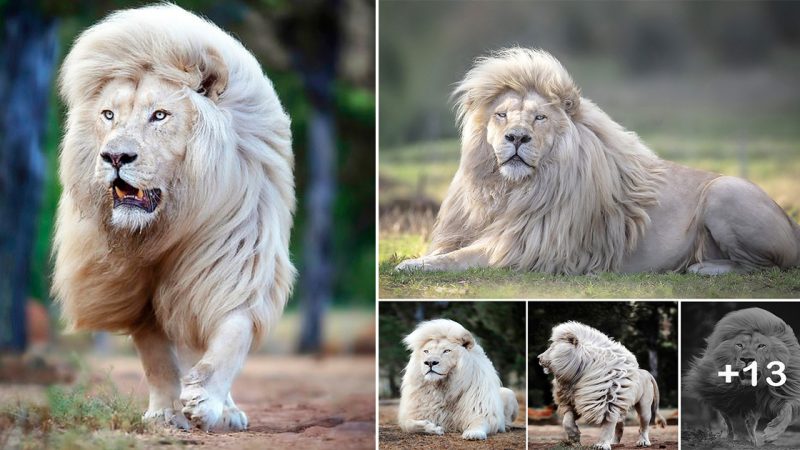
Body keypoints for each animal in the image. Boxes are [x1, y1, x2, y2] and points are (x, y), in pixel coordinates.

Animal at [52, 4, 294, 432]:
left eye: (160, 115)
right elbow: (157, 359)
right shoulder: (133, 289)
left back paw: (226, 411)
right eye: (108, 115)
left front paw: (206, 402)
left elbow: (232, 336)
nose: (115, 157)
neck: (166, 225)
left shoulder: (237, 263)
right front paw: (165, 413)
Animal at [396, 48, 800, 274]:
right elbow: (448, 250)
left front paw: (410, 265)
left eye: (540, 118)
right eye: (501, 115)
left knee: (760, 267)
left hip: (724, 191)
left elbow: (455, 259)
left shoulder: (525, 248)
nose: (517, 138)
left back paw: (701, 269)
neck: (507, 190)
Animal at [536, 322, 668, 448]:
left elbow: (607, 427)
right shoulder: (573, 401)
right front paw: (575, 438)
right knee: (620, 426)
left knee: (643, 426)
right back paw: (615, 443)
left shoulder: (609, 403)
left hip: (644, 406)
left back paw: (643, 442)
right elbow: (566, 422)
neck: (576, 376)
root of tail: (647, 372)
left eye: (552, 348)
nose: (539, 358)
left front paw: (602, 445)